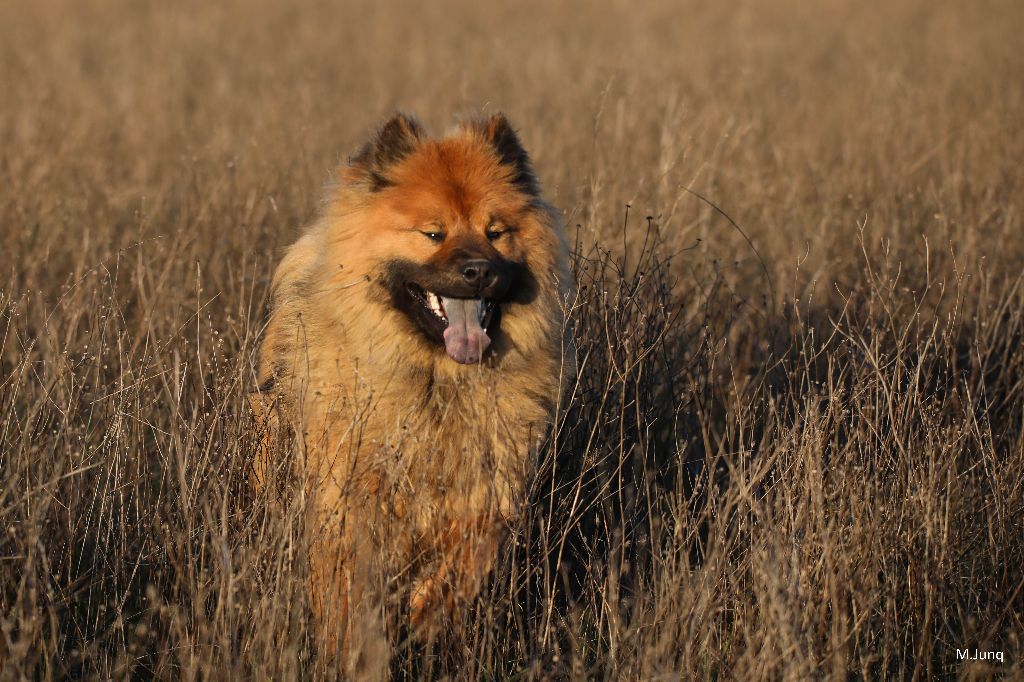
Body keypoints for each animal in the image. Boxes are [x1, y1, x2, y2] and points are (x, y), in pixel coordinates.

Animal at [244, 111, 573, 667]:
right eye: (432, 233)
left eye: (496, 232)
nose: (479, 271)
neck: (436, 383)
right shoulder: (347, 496)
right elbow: (347, 591)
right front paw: (354, 653)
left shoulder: (490, 486)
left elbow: (468, 558)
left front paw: (428, 617)